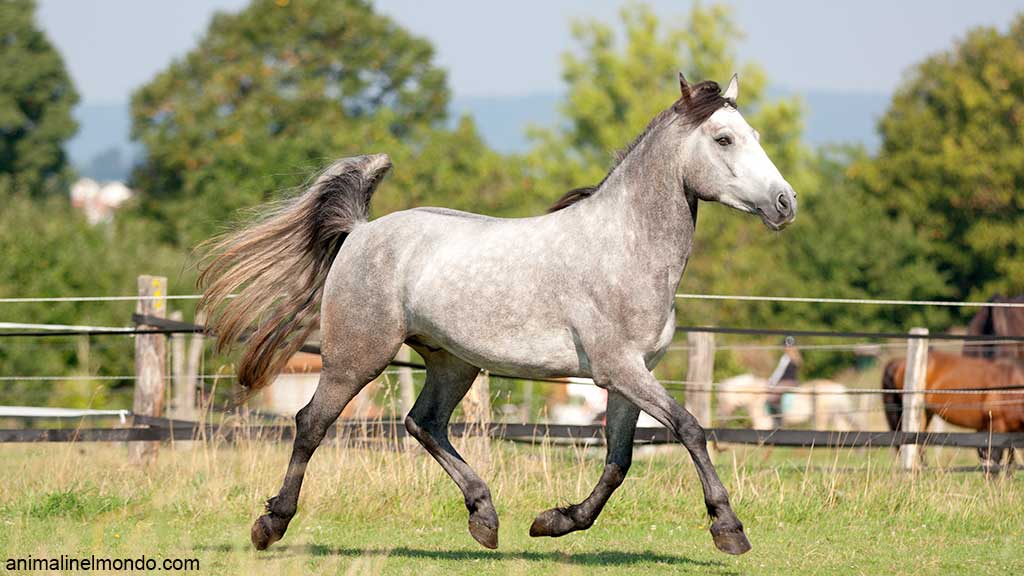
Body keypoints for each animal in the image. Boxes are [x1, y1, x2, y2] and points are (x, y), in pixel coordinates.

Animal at [198, 73, 796, 556]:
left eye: (756, 136)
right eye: (724, 139)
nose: (785, 203)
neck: (623, 247)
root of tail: (361, 232)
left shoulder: (630, 374)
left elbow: (619, 460)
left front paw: (554, 521)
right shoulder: (619, 368)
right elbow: (690, 429)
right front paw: (729, 529)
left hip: (452, 362)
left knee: (424, 423)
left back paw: (484, 518)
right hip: (356, 358)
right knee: (311, 424)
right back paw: (270, 525)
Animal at [716, 374, 860, 430]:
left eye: (721, 399)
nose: (720, 416)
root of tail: (837, 387)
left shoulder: (763, 423)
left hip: (822, 415)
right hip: (836, 415)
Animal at [882, 350, 1024, 472]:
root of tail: (900, 362)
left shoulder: (1010, 431)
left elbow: (1009, 459)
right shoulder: (996, 426)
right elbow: (996, 458)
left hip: (927, 412)